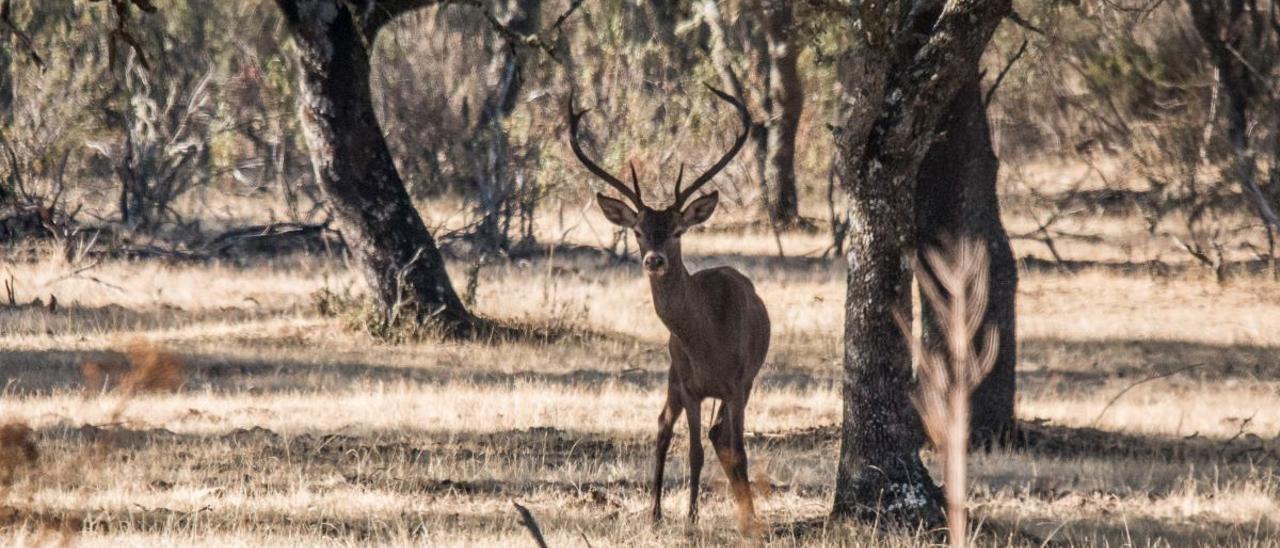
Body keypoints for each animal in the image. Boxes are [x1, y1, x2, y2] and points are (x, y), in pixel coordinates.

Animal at [570, 86, 768, 530]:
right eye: (638, 231)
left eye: (677, 230)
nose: (654, 259)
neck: (709, 340)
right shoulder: (690, 385)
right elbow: (693, 452)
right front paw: (691, 518)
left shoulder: (738, 381)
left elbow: (738, 448)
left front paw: (748, 519)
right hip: (672, 375)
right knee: (664, 426)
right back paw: (656, 512)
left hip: (738, 383)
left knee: (719, 436)